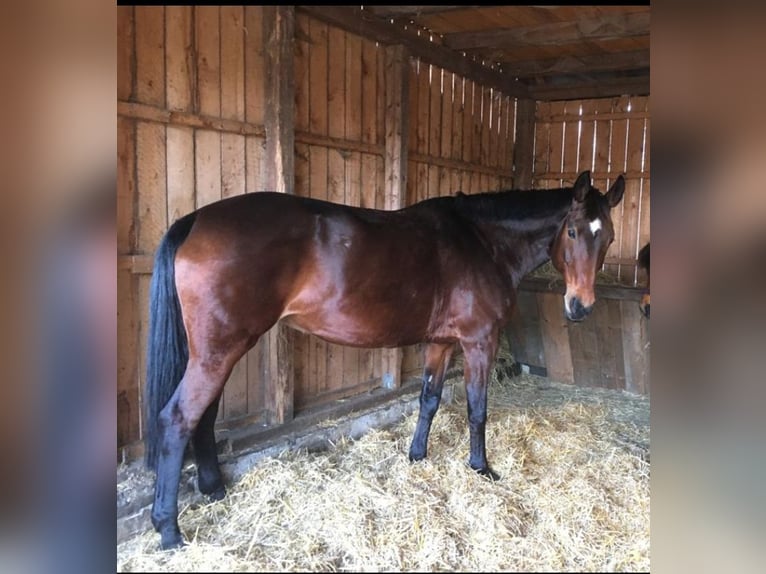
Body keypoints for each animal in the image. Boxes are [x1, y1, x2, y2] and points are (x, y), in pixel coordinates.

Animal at [142, 170, 624, 548]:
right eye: (573, 232)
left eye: (609, 236)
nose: (580, 307)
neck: (483, 241)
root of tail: (196, 220)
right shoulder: (479, 342)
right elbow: (477, 409)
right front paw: (481, 467)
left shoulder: (440, 343)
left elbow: (429, 400)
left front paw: (417, 456)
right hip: (220, 351)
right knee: (177, 420)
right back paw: (169, 530)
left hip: (217, 352)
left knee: (203, 418)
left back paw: (213, 490)